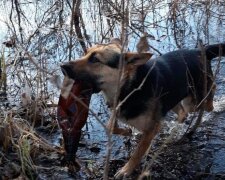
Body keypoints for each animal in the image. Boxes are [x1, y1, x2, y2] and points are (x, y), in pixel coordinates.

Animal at [61, 40, 225, 178]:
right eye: (86, 53)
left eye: (95, 59)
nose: (62, 66)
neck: (130, 86)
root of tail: (200, 51)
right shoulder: (120, 111)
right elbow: (111, 126)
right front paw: (127, 131)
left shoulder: (152, 126)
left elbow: (138, 152)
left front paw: (126, 170)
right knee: (183, 112)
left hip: (196, 98)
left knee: (208, 98)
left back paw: (212, 106)